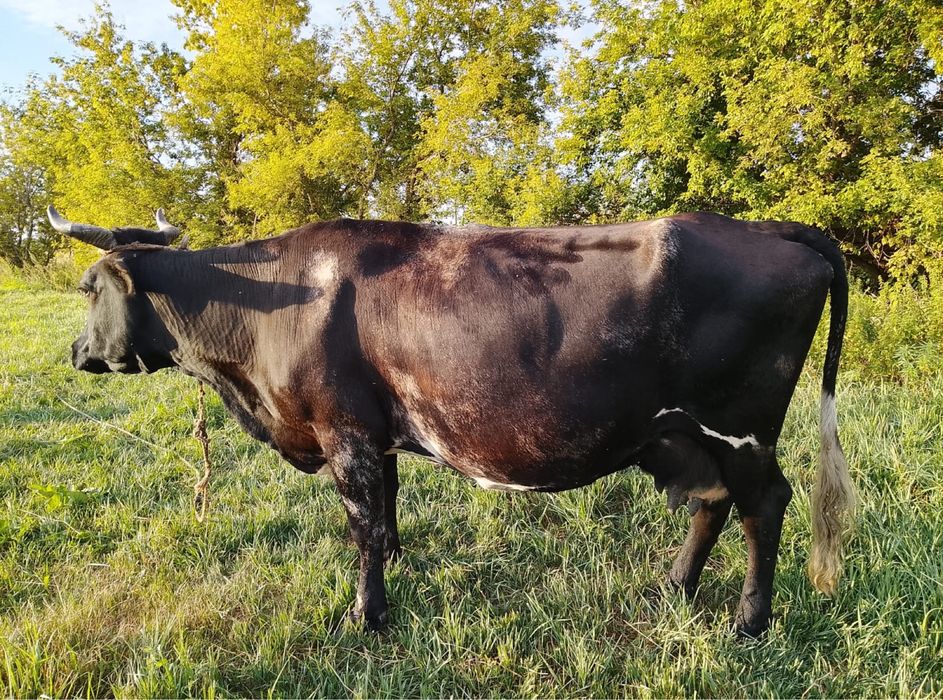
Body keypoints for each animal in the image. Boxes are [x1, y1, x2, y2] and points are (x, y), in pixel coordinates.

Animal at [47, 204, 855, 638]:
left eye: (88, 287)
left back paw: (748, 622)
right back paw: (673, 587)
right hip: (681, 435)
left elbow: (361, 526)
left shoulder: (344, 433)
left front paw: (365, 615)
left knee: (763, 506)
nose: (77, 352)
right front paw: (398, 567)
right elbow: (387, 510)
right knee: (711, 503)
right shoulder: (377, 434)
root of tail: (767, 229)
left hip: (739, 427)